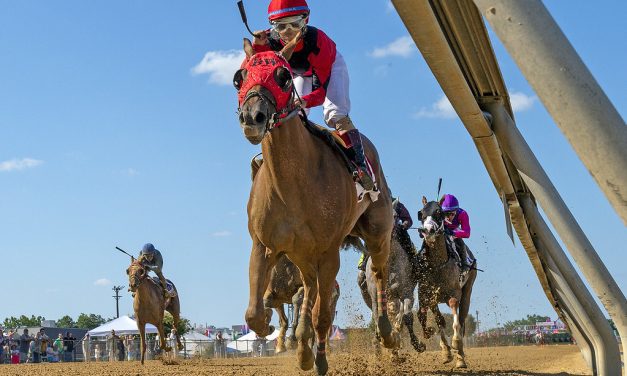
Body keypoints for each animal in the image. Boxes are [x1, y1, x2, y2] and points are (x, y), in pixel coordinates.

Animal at [236, 36, 398, 376]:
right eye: (239, 77)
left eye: (283, 76)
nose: (253, 117)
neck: (292, 182)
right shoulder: (264, 245)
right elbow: (255, 312)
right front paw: (277, 334)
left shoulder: (328, 251)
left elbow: (322, 315)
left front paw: (319, 357)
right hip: (302, 256)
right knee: (309, 290)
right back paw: (301, 345)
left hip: (377, 233)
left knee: (378, 272)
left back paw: (386, 332)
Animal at [418, 197, 476, 368]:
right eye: (421, 213)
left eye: (439, 213)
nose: (427, 231)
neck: (437, 264)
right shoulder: (429, 297)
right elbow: (437, 321)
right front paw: (446, 352)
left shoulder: (454, 294)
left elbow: (455, 323)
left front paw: (456, 346)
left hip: (467, 292)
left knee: (462, 320)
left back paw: (461, 357)